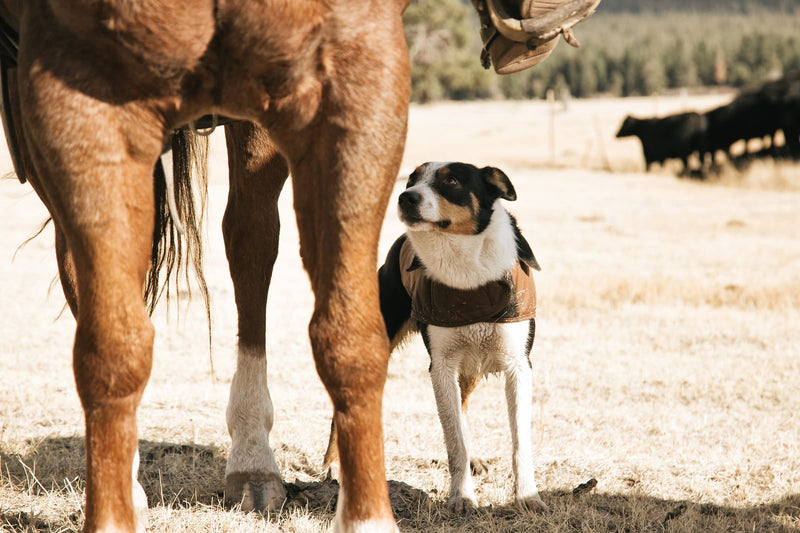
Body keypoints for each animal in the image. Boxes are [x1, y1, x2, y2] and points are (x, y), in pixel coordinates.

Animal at [384, 161, 548, 512]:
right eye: (411, 179)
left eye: (452, 180)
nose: (406, 197)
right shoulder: (442, 367)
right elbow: (454, 440)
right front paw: (462, 497)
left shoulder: (518, 365)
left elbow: (519, 442)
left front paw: (528, 497)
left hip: (470, 369)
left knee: (465, 407)